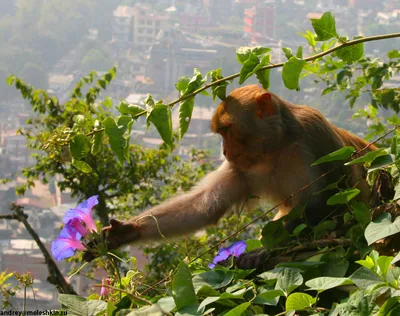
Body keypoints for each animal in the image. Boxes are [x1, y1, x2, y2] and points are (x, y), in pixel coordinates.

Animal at [83, 85, 376, 268]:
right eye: (221, 134)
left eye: (228, 130)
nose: (224, 151)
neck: (275, 147)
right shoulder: (241, 167)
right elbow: (204, 207)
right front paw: (124, 233)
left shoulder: (311, 137)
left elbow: (327, 201)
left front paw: (260, 250)